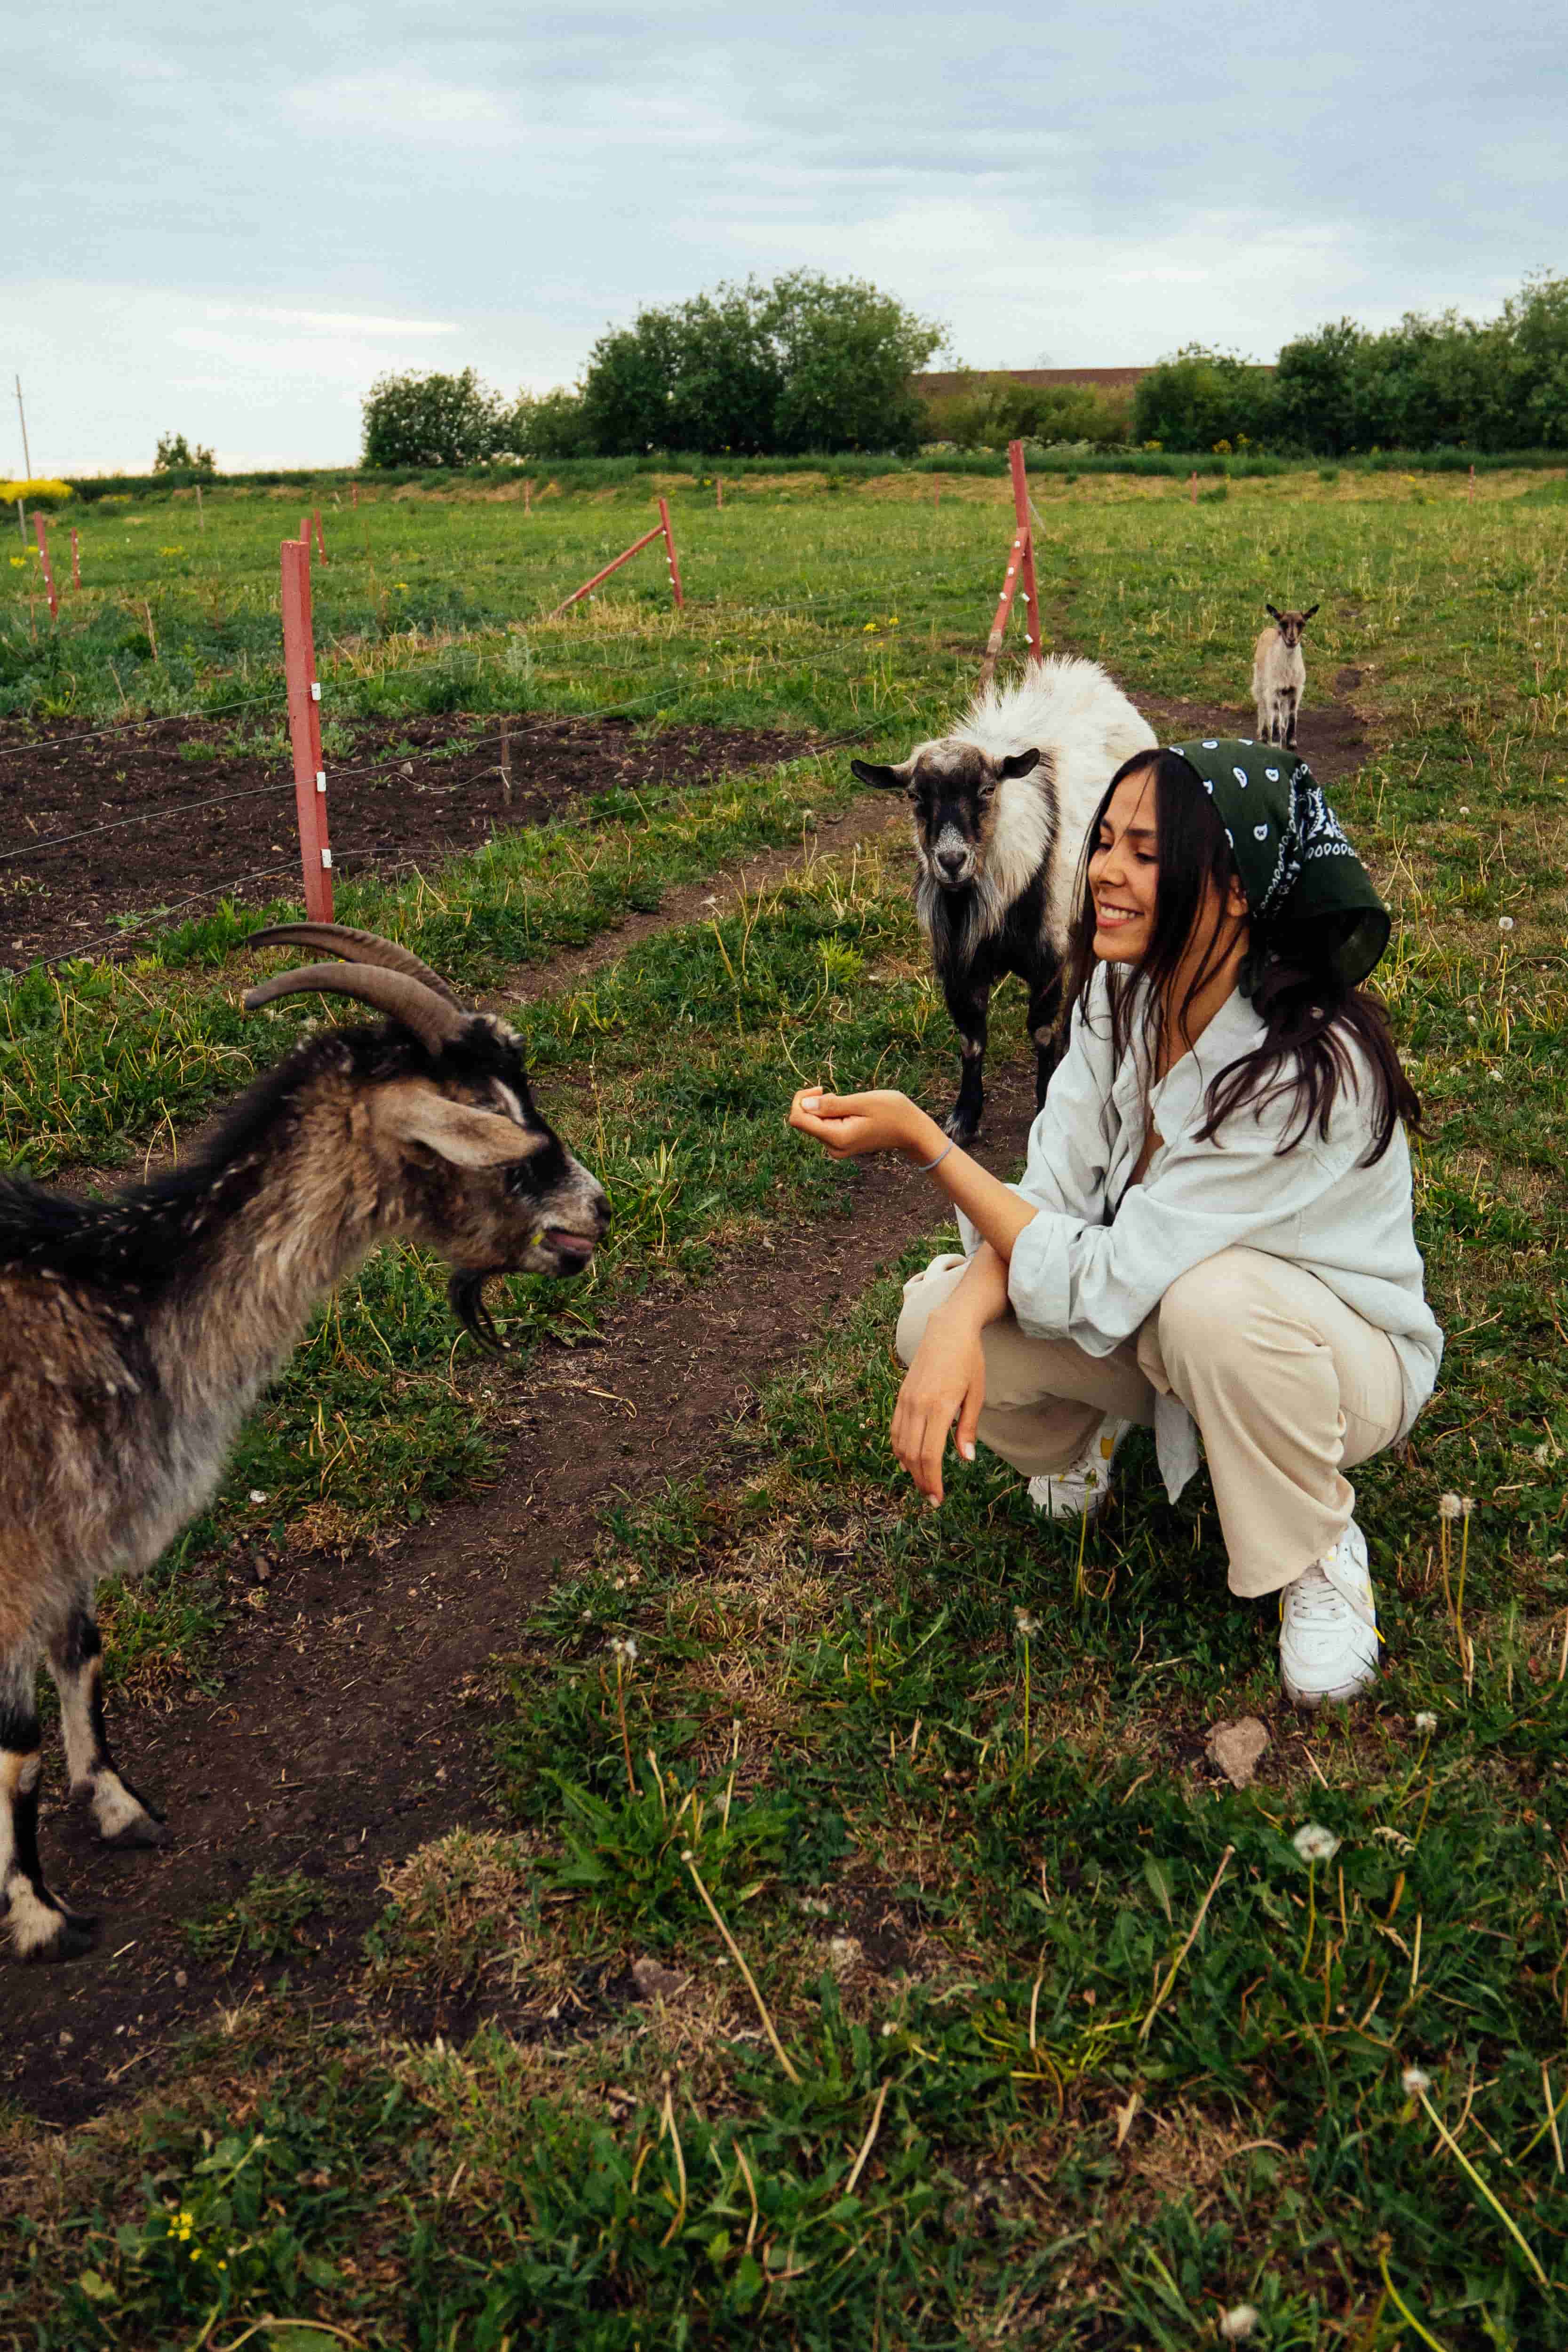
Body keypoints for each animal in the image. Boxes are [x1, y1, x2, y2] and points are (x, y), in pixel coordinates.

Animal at [0, 927, 606, 1957]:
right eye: (489, 1117)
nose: (597, 1210)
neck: (107, 1292)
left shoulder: (67, 1536)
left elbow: (82, 1649)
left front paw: (117, 1806)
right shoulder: (15, 1558)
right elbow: (15, 1748)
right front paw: (40, 1917)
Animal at [860, 659, 1152, 1143]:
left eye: (986, 790)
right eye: (914, 796)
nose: (951, 861)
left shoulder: (1047, 956)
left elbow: (1041, 1032)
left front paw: (1045, 1101)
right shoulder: (960, 967)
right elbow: (971, 1038)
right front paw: (964, 1117)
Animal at [1260, 602, 1316, 748]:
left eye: (1302, 624)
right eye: (1283, 623)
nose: (1292, 640)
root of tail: (1270, 630)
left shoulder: (1296, 689)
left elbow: (1292, 714)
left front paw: (1291, 742)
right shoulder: (1274, 690)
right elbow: (1275, 715)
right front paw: (1275, 742)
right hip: (1261, 683)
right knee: (1263, 707)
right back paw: (1264, 736)